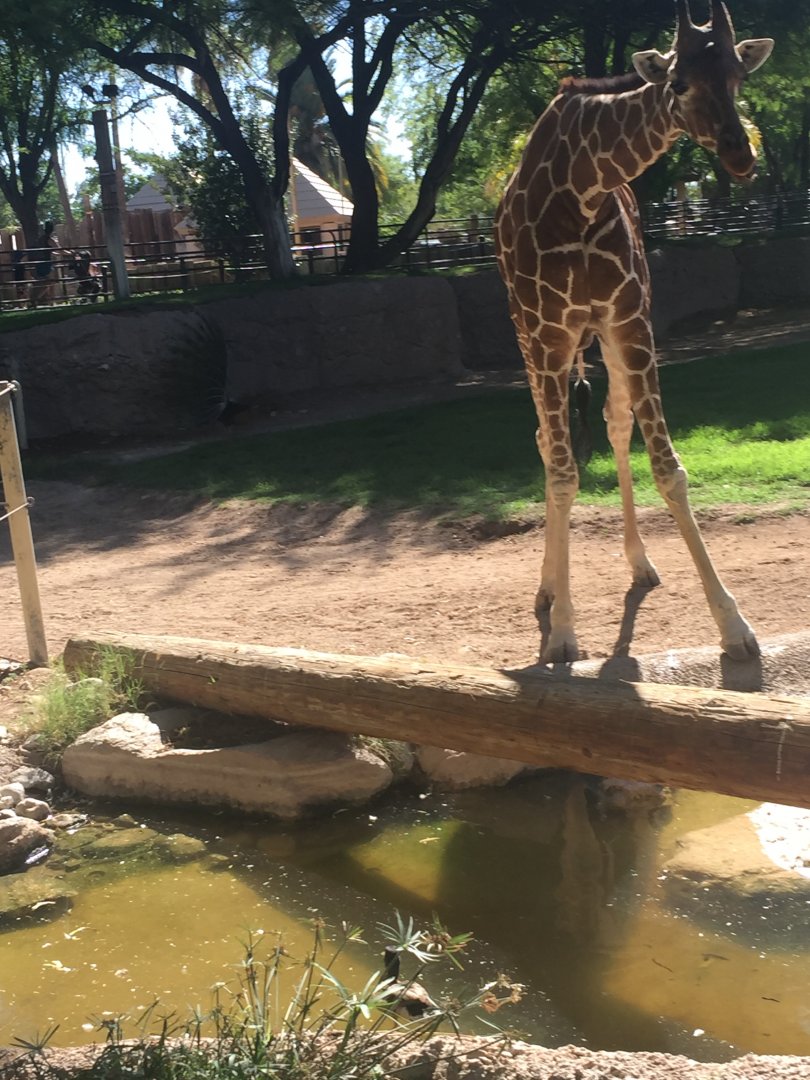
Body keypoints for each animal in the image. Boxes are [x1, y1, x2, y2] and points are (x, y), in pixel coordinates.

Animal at [493, 0, 773, 664]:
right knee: (548, 443)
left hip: (600, 335)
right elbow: (563, 471)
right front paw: (563, 634)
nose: (740, 155)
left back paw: (639, 564)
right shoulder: (547, 332)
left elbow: (668, 467)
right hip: (529, 337)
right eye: (679, 84)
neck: (582, 187)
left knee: (615, 425)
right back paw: (547, 591)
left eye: (737, 78)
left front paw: (734, 626)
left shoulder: (629, 317)